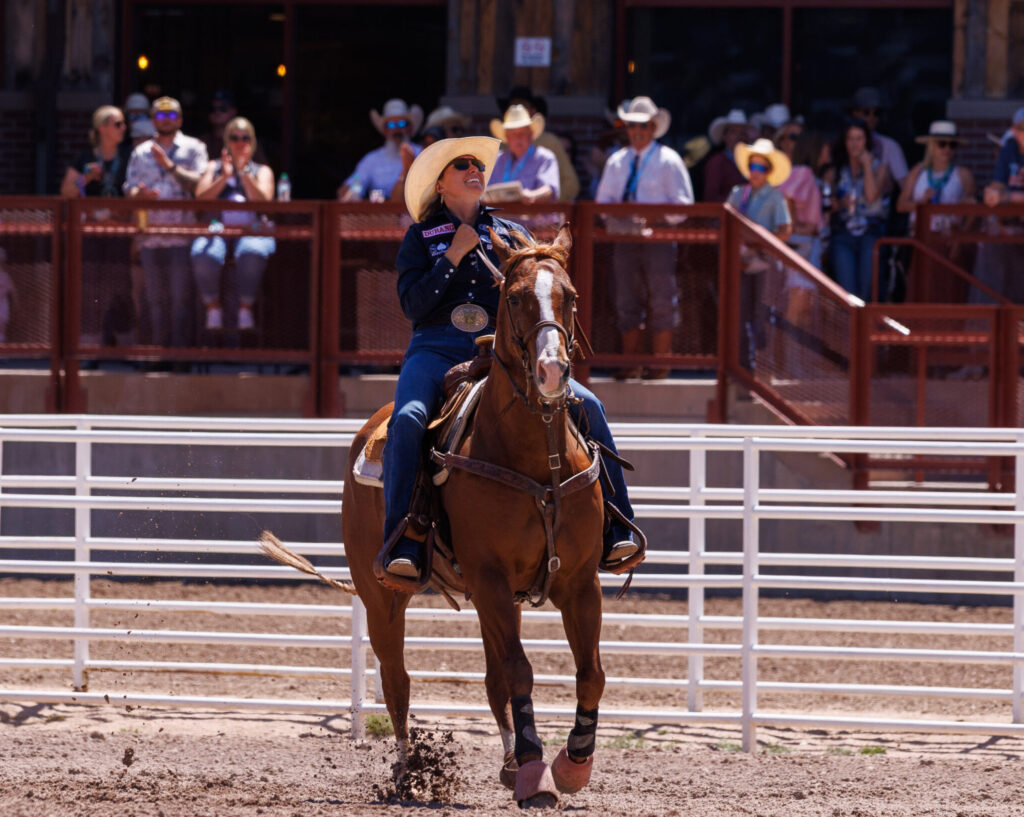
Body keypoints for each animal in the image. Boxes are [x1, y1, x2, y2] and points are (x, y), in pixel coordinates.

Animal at [266, 223, 608, 808]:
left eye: (571, 296)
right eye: (514, 297)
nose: (551, 372)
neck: (534, 457)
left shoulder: (579, 581)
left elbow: (589, 674)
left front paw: (570, 764)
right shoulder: (490, 577)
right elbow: (520, 672)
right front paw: (537, 774)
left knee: (491, 680)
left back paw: (509, 762)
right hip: (382, 594)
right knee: (397, 679)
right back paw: (408, 773)